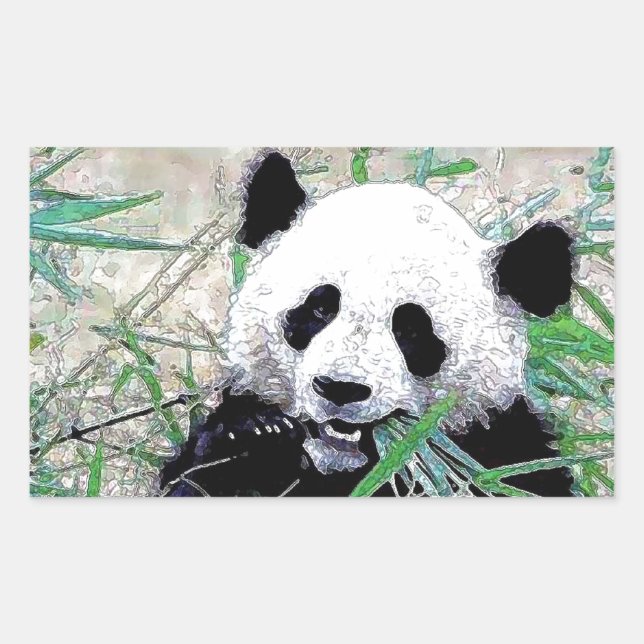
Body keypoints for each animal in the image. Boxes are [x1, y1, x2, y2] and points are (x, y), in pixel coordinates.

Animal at [160, 150, 574, 497]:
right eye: (320, 309)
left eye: (411, 329)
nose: (340, 389)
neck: (341, 464)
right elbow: (197, 474)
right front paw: (261, 435)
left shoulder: (502, 448)